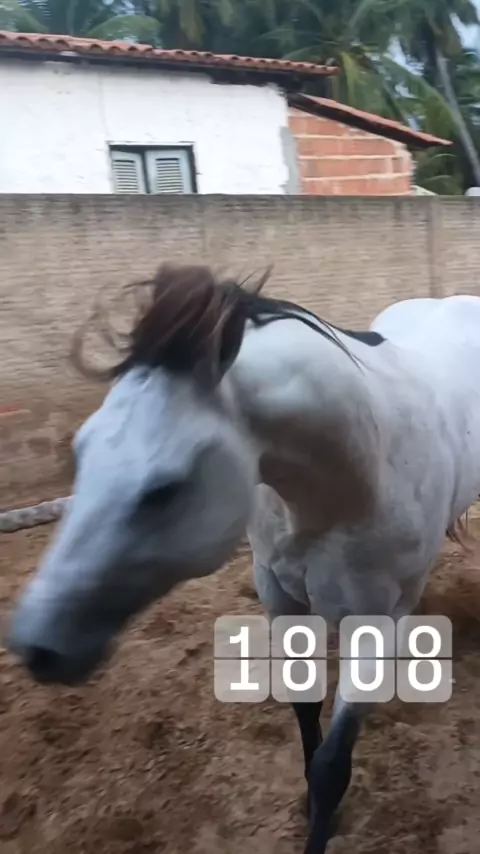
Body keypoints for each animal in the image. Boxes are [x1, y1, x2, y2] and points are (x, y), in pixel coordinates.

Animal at [7, 264, 480, 853]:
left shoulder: (375, 621)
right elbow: (303, 705)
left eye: (165, 489)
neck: (359, 472)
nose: (34, 645)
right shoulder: (277, 593)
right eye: (81, 451)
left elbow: (333, 766)